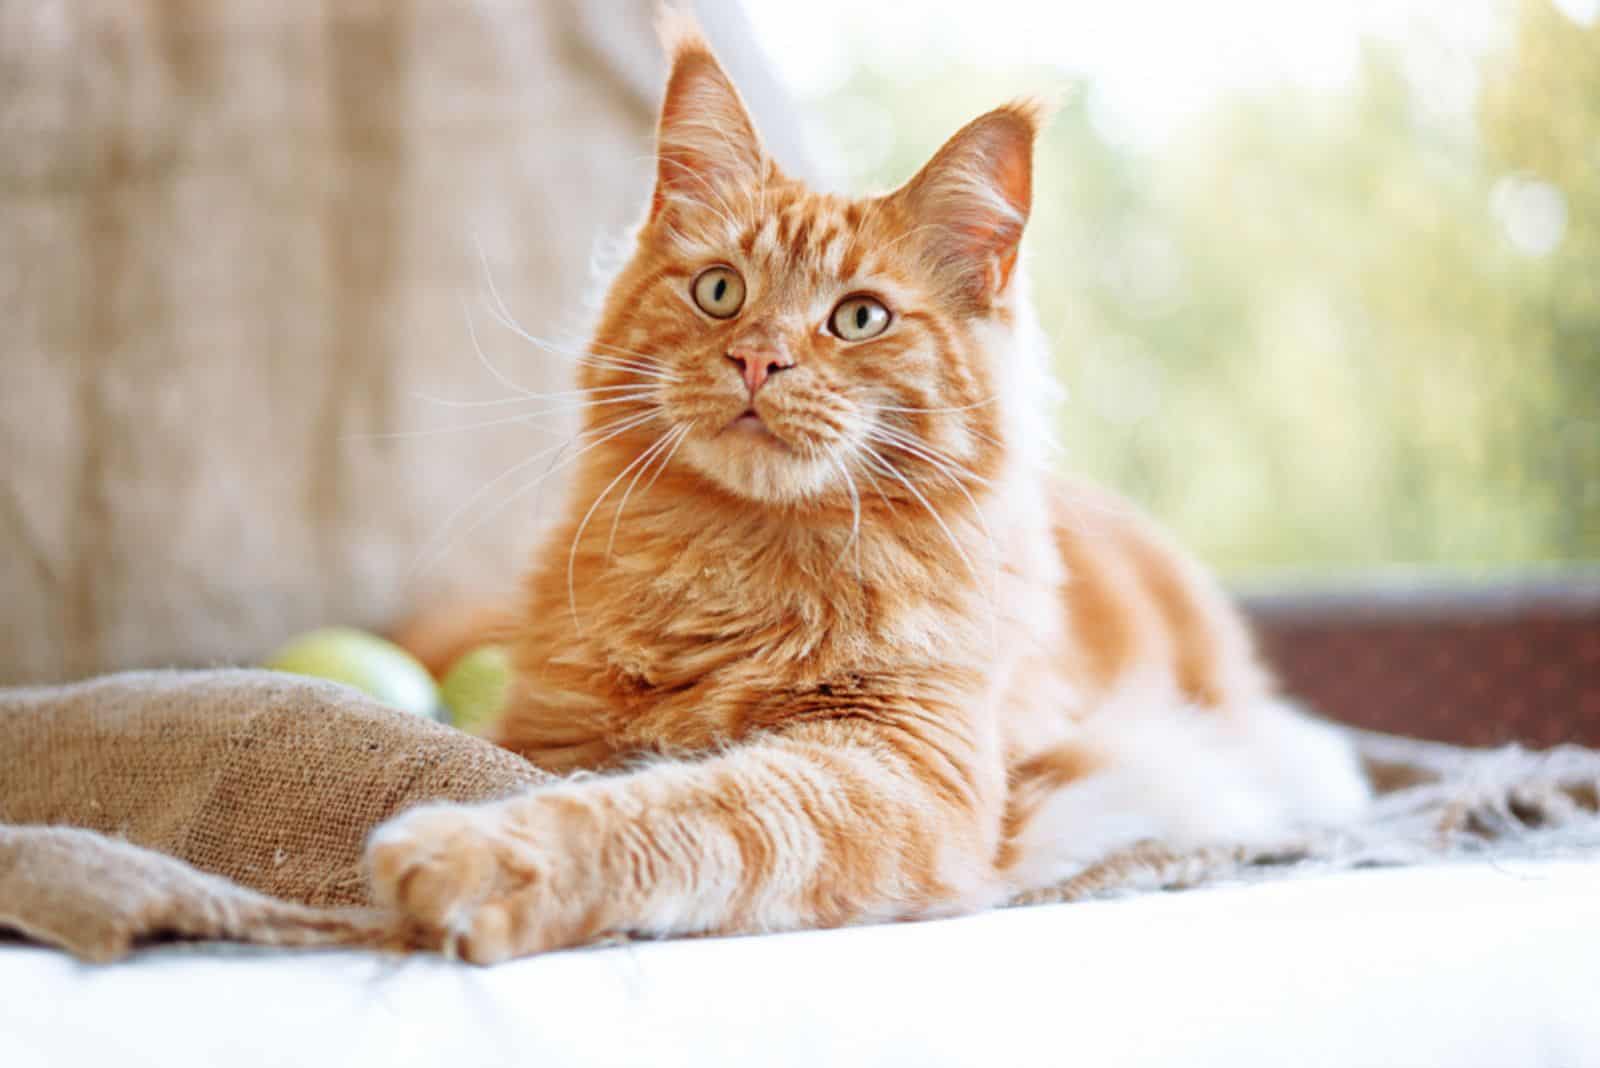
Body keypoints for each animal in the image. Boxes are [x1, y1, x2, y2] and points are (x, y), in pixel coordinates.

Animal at [368, 14, 1369, 965]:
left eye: (858, 318)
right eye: (720, 291)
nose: (757, 359)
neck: (738, 561)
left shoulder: (895, 767)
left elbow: (679, 808)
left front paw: (471, 857)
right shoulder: (549, 730)